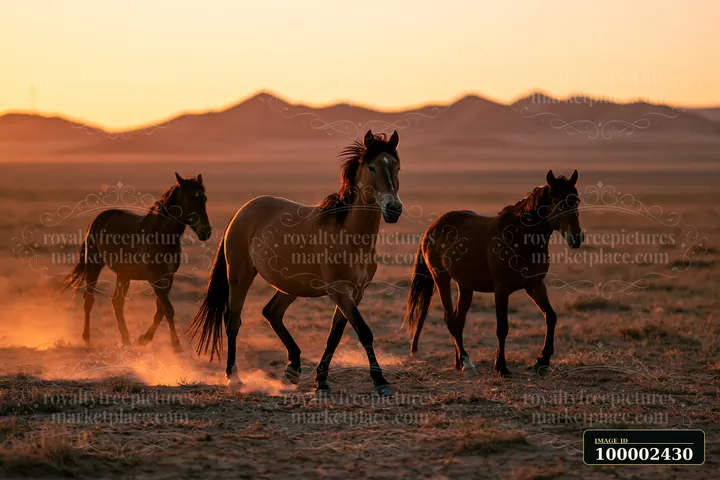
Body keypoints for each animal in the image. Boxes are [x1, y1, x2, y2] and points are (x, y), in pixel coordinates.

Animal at [61, 173, 212, 351]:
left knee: (117, 302)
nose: (206, 231)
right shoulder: (154, 278)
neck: (160, 236)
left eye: (204, 198)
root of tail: (97, 220)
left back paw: (126, 339)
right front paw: (175, 345)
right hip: (94, 265)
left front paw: (144, 339)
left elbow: (160, 310)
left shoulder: (168, 277)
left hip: (123, 274)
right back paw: (87, 338)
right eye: (188, 199)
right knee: (89, 299)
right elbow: (168, 309)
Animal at [189, 130, 402, 396]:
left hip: (290, 285)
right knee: (233, 322)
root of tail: (242, 211)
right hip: (239, 277)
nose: (394, 209)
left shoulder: (356, 292)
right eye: (372, 167)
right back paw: (234, 377)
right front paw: (380, 381)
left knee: (272, 312)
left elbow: (335, 335)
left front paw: (322, 381)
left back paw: (293, 366)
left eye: (397, 167)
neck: (350, 234)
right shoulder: (339, 291)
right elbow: (363, 332)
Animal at [405, 170, 583, 377]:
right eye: (556, 201)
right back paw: (466, 362)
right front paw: (501, 366)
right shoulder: (501, 289)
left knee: (459, 320)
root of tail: (433, 227)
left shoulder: (535, 285)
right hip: (441, 278)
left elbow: (551, 316)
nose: (576, 238)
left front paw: (542, 360)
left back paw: (459, 362)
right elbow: (502, 327)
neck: (520, 237)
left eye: (576, 201)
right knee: (451, 319)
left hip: (465, 285)